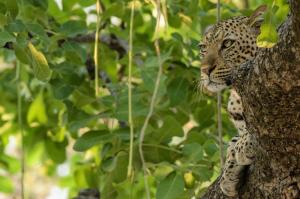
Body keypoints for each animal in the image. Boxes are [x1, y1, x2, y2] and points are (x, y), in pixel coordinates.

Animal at [199, 5, 268, 197]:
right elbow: (233, 140)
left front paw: (243, 146)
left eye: (227, 43)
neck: (237, 94)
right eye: (203, 48)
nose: (204, 70)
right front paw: (228, 174)